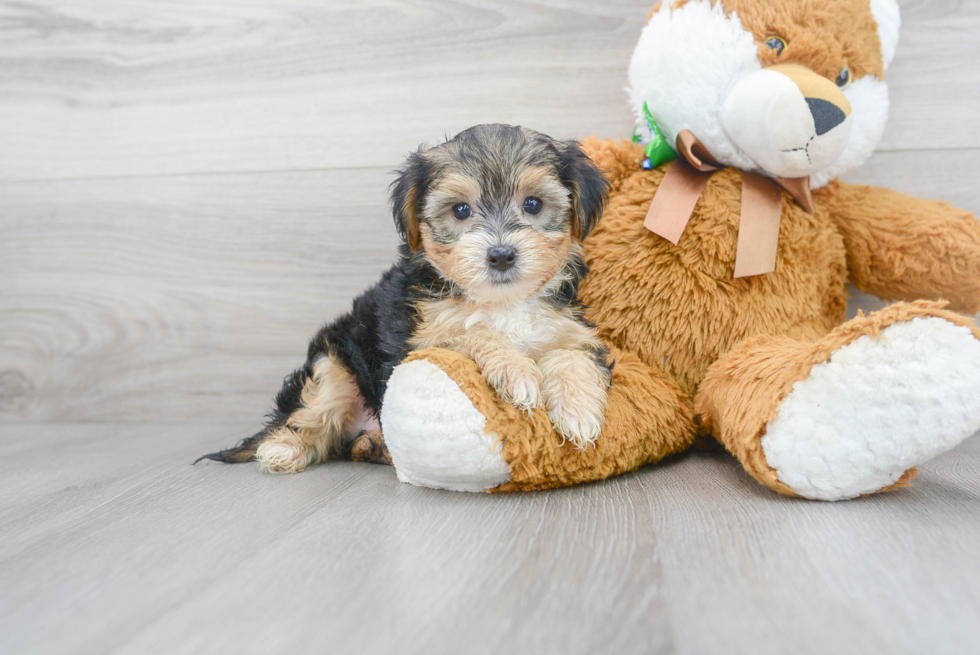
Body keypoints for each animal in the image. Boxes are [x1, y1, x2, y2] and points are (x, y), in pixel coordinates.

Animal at [198, 123, 608, 474]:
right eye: (461, 209)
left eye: (533, 204)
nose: (502, 255)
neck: (501, 301)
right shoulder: (419, 338)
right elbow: (467, 332)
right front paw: (515, 369)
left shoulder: (573, 329)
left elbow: (572, 355)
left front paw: (579, 410)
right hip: (333, 363)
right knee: (315, 412)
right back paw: (284, 448)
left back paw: (374, 446)